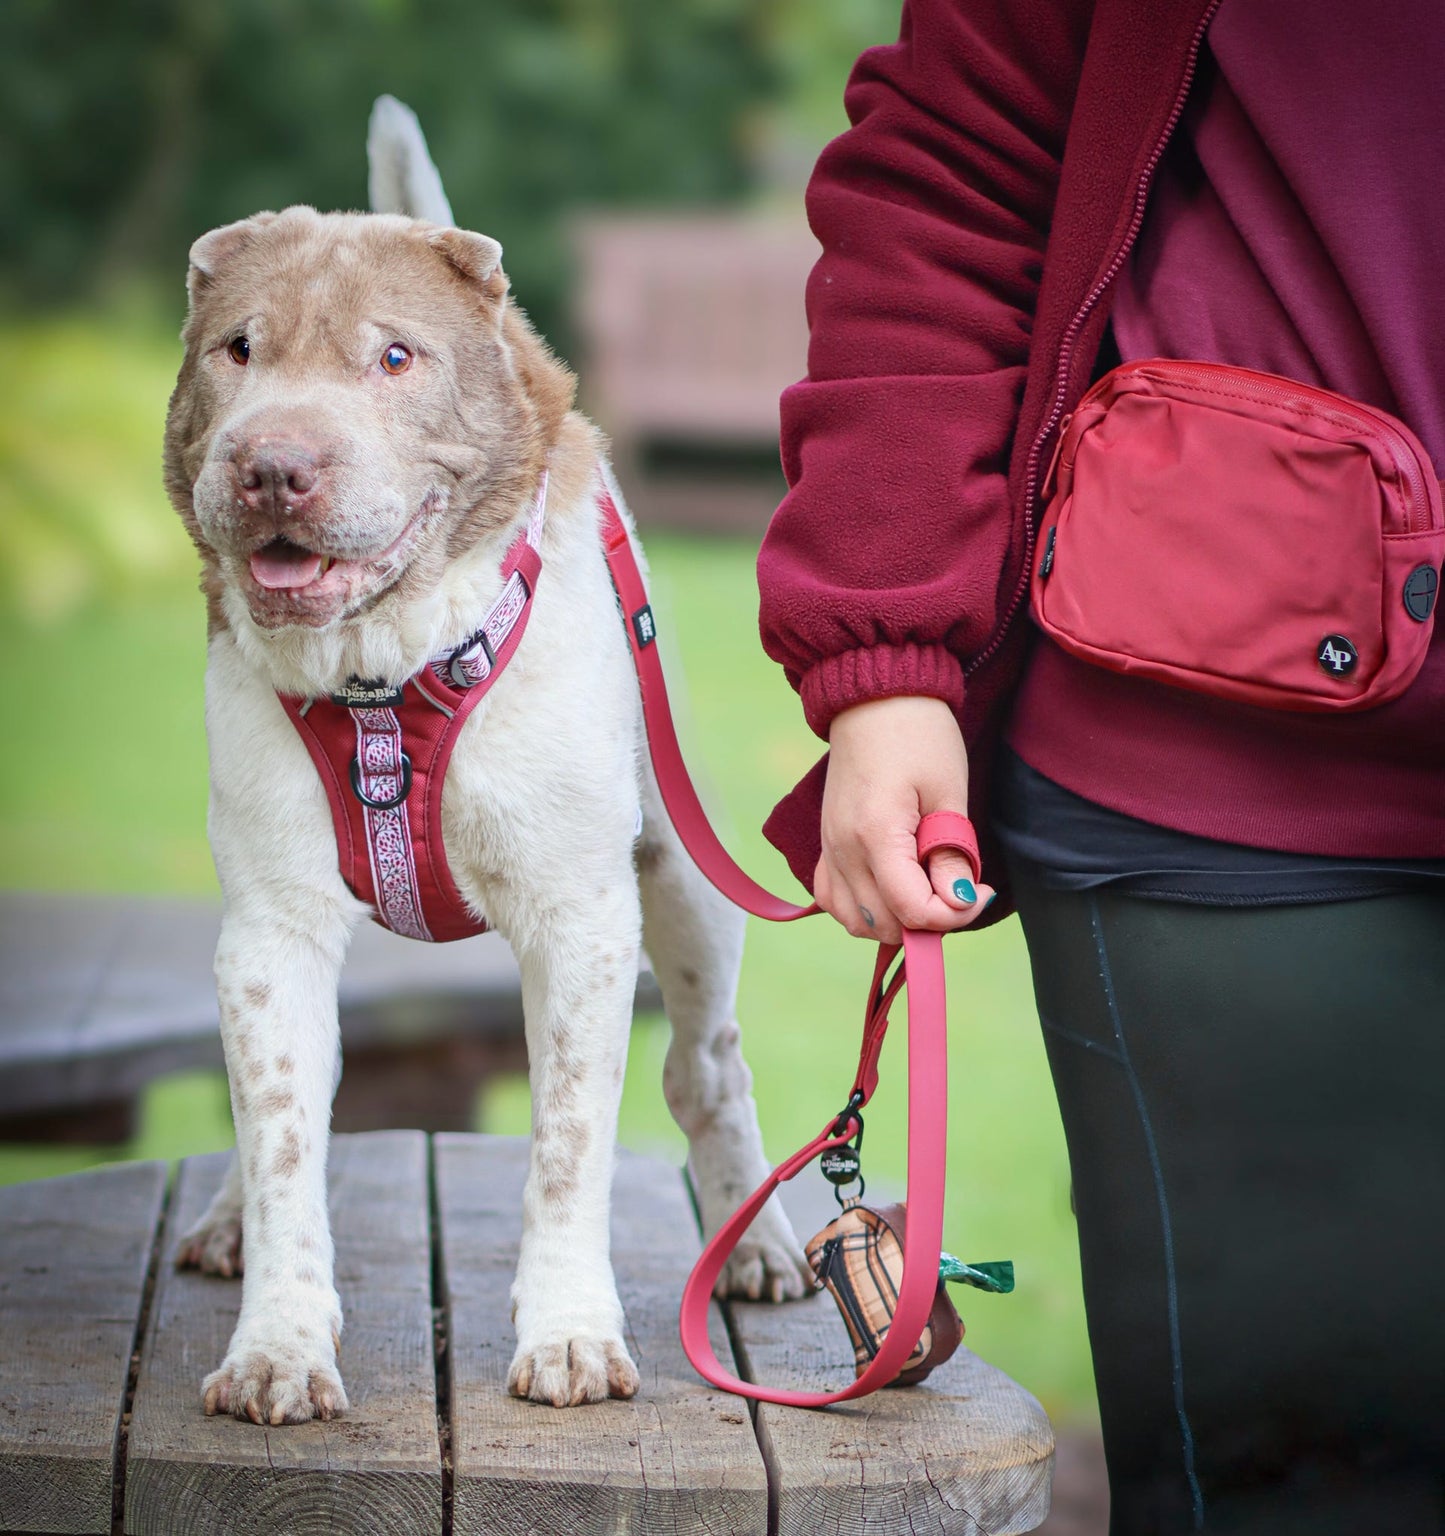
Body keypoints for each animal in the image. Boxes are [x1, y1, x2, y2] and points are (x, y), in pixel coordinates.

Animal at [166, 99, 810, 1425]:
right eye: (237, 351)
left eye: (395, 359)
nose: (271, 467)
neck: (382, 672)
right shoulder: (270, 928)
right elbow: (282, 1131)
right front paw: (277, 1347)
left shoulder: (582, 917)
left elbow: (566, 1146)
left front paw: (567, 1336)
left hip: (683, 878)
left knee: (706, 1068)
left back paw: (758, 1243)